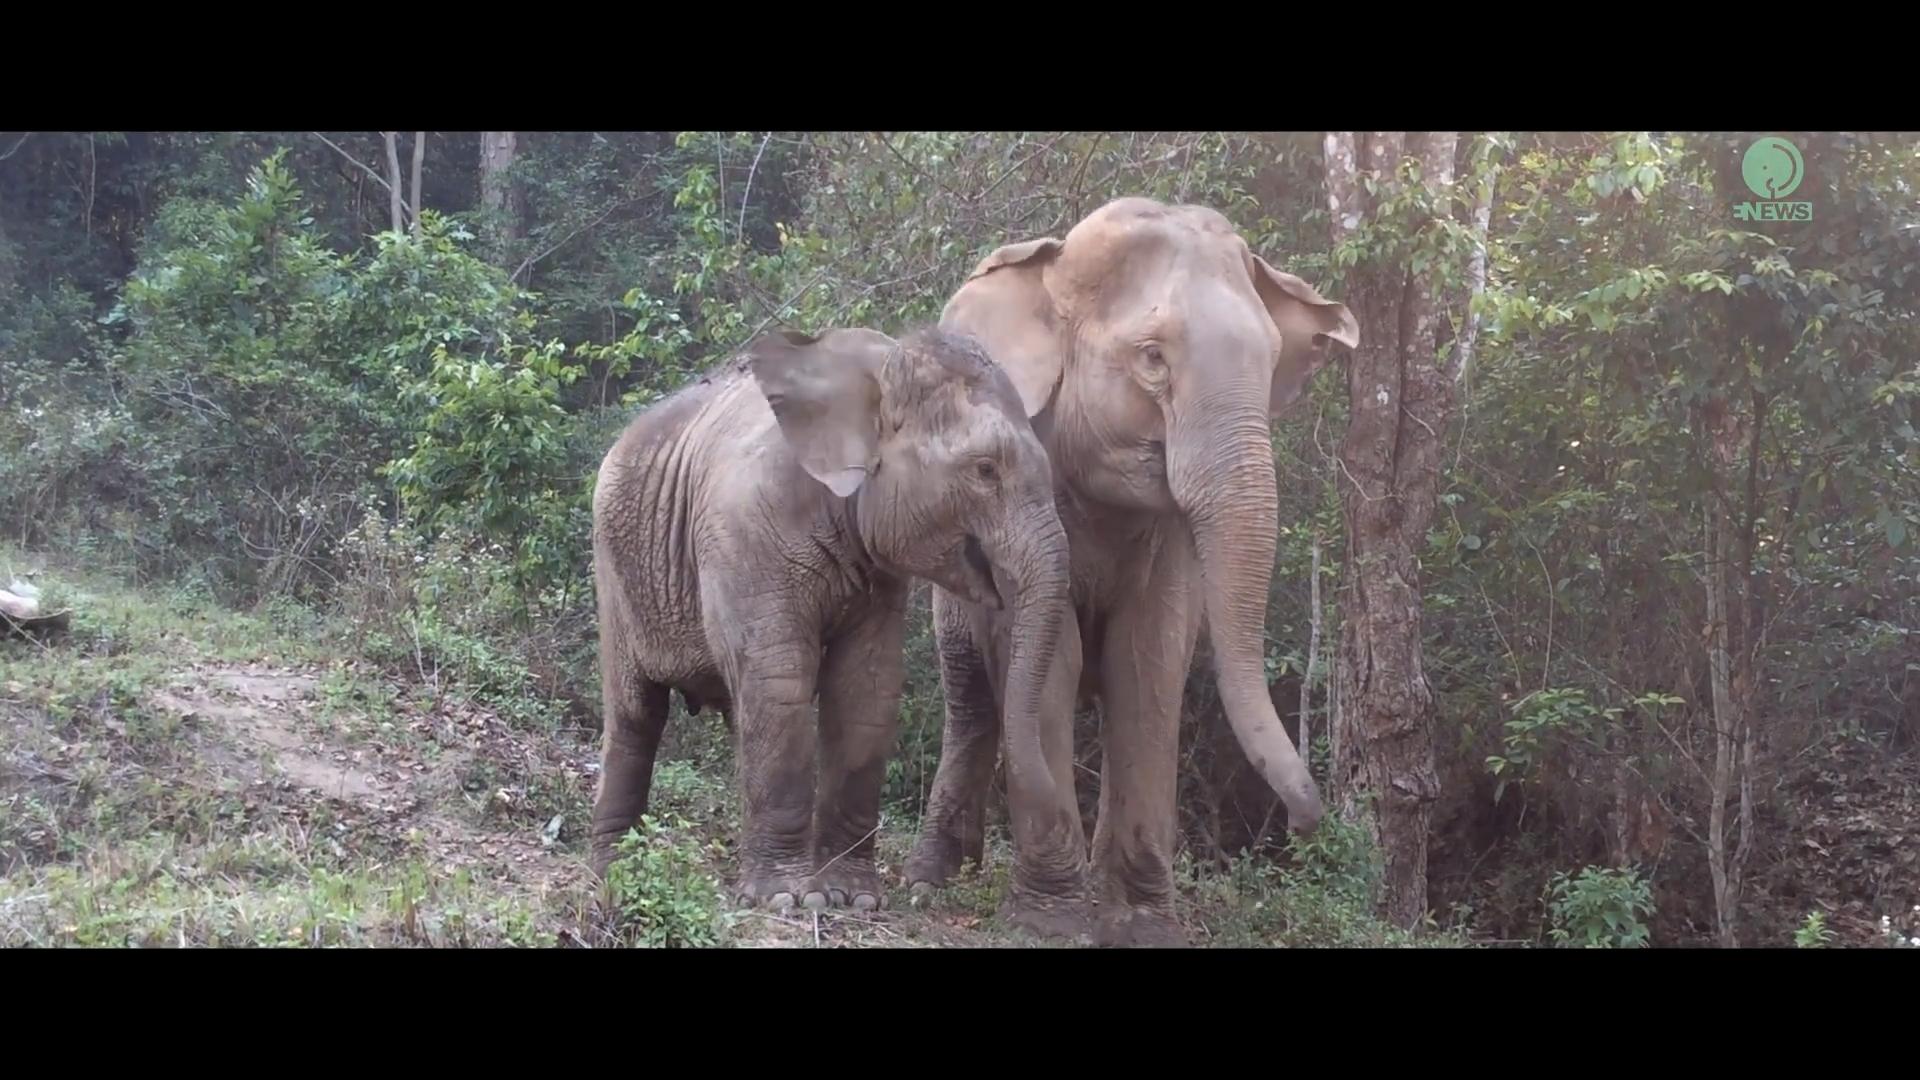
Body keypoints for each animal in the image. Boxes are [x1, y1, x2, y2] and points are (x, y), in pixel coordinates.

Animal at [586, 324, 1086, 922]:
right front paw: (782, 897)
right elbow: (780, 684)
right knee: (635, 713)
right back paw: (611, 870)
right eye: (985, 470)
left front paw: (852, 897)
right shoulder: (745, 534)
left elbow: (865, 692)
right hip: (613, 568)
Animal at [902, 196, 1359, 946]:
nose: (1303, 825)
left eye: (1271, 365)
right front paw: (1049, 922)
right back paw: (928, 882)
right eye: (1152, 358)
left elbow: (1150, 653)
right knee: (969, 697)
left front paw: (1142, 926)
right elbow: (1050, 653)